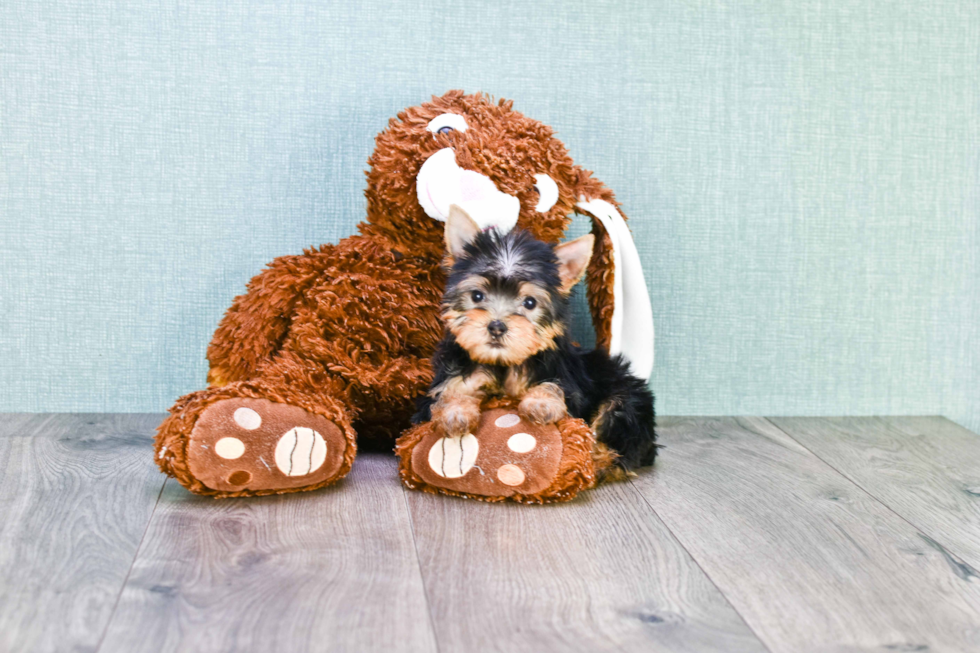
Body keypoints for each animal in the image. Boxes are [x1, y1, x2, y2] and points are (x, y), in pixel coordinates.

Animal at [414, 205, 660, 474]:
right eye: (477, 296)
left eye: (529, 302)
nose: (497, 326)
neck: (503, 363)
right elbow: (451, 391)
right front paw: (455, 412)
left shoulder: (565, 379)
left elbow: (553, 385)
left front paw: (542, 404)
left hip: (625, 398)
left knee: (616, 430)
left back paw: (595, 459)